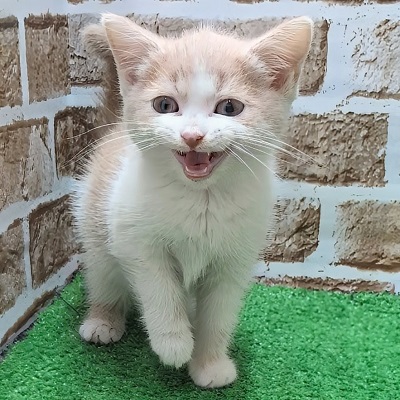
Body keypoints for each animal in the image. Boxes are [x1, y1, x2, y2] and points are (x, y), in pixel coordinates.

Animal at [72, 13, 313, 388]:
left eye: (229, 107)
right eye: (165, 105)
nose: (192, 136)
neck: (202, 199)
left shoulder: (235, 260)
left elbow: (218, 313)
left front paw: (209, 363)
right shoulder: (134, 239)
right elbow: (158, 288)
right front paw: (173, 344)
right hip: (95, 227)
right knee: (104, 276)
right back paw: (103, 320)